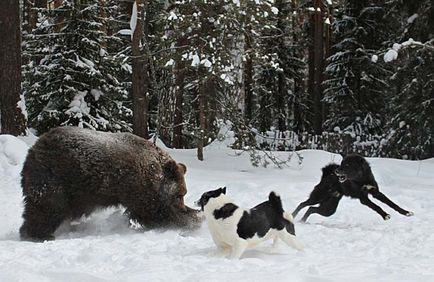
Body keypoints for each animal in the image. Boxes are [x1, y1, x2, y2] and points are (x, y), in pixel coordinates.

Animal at [19, 126, 200, 241]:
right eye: (180, 194)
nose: (182, 206)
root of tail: (35, 148)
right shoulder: (139, 187)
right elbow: (156, 212)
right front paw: (191, 221)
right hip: (57, 176)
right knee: (48, 205)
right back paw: (38, 234)